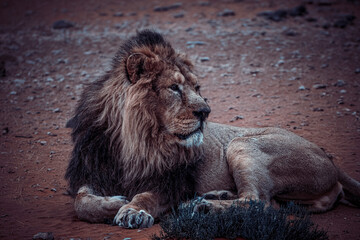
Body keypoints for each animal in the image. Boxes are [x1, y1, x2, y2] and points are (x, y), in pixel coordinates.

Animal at [65, 29, 360, 228]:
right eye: (174, 87)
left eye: (197, 88)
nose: (205, 112)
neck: (132, 142)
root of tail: (329, 158)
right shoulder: (92, 171)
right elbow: (81, 203)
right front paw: (115, 201)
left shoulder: (172, 182)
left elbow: (146, 196)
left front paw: (131, 210)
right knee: (272, 203)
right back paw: (212, 197)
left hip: (242, 144)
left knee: (259, 203)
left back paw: (202, 206)